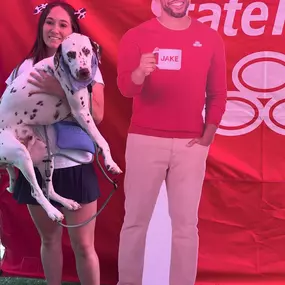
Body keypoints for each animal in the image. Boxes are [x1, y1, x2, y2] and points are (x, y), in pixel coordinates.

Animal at [0, 32, 121, 220]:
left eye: (86, 50)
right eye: (70, 54)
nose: (84, 72)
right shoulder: (81, 112)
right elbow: (102, 140)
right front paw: (111, 163)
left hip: (45, 156)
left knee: (47, 189)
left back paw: (66, 202)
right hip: (21, 155)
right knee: (36, 192)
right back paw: (53, 212)